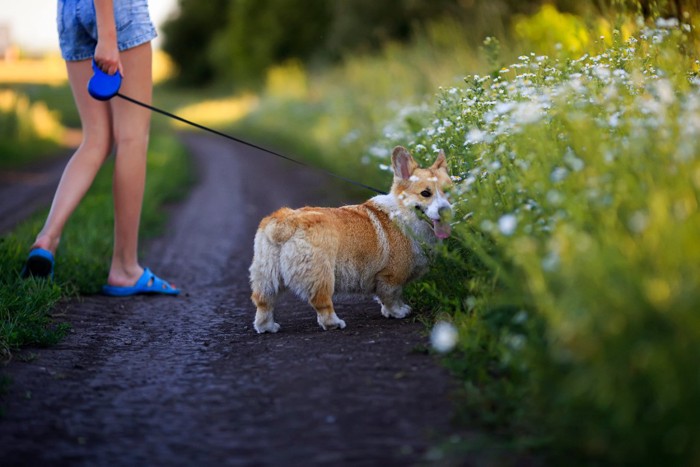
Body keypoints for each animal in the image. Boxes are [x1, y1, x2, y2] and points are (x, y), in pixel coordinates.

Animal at [249, 146, 452, 332]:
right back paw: (334, 323)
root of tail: (285, 223)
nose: (446, 211)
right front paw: (398, 312)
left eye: (448, 191)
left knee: (262, 302)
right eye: (425, 193)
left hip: (268, 275)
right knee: (321, 302)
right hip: (321, 274)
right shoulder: (391, 277)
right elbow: (392, 297)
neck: (404, 214)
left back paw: (267, 327)